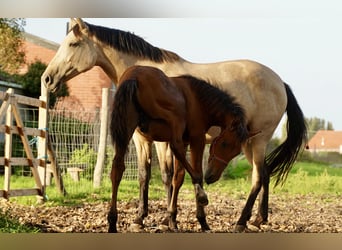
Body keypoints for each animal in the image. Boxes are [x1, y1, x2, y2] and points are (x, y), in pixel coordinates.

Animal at [108, 65, 247, 232]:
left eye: (236, 152)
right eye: (224, 143)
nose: (212, 177)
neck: (198, 99)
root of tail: (134, 76)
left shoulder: (184, 141)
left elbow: (177, 176)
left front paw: (172, 218)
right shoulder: (196, 139)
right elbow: (190, 173)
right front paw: (200, 219)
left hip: (134, 134)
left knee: (118, 168)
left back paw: (112, 222)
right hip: (175, 119)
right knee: (175, 148)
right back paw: (201, 195)